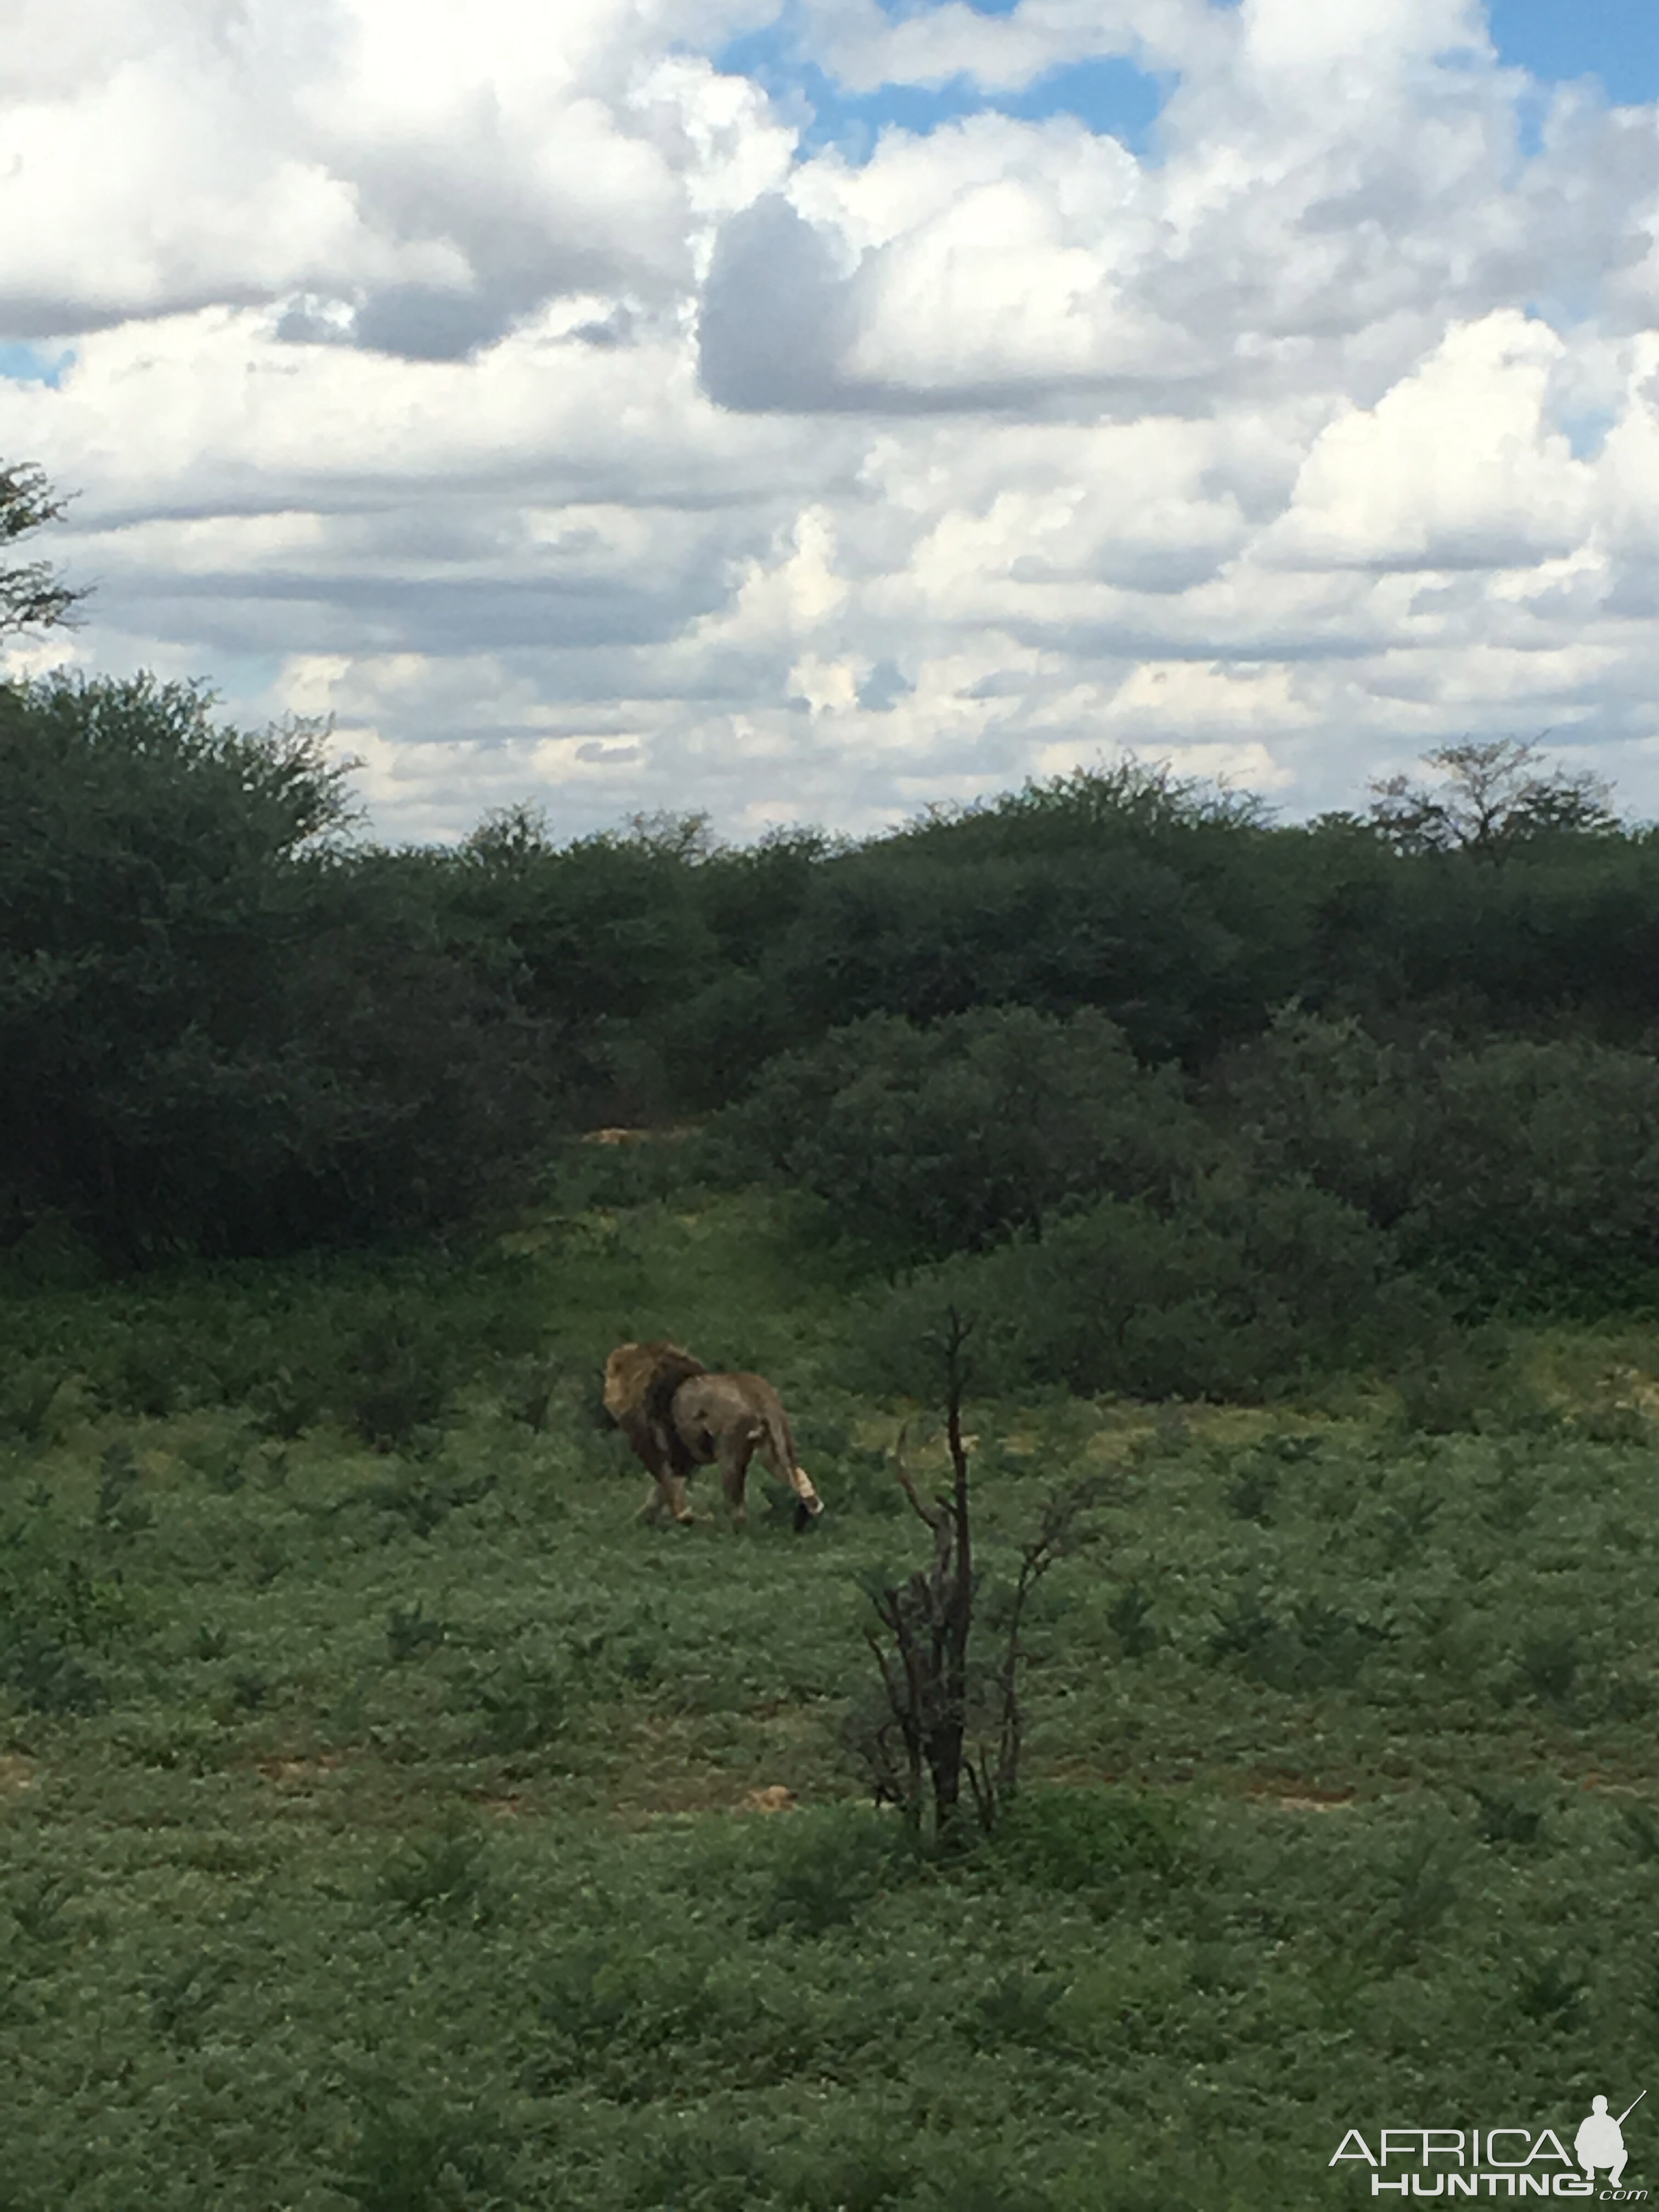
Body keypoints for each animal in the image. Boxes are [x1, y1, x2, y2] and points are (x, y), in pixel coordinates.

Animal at [606, 1336, 827, 1531]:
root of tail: (756, 1392)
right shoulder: (683, 1458)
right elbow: (663, 1493)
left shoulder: (655, 1447)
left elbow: (671, 1495)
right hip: (775, 1450)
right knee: (800, 1479)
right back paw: (811, 1509)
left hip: (730, 1450)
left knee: (737, 1507)